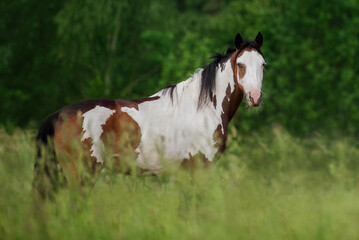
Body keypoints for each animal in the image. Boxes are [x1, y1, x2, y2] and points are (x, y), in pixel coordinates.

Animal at [34, 31, 268, 195]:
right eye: (240, 64)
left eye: (263, 65)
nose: (255, 97)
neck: (204, 107)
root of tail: (59, 116)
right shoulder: (201, 168)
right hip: (81, 174)